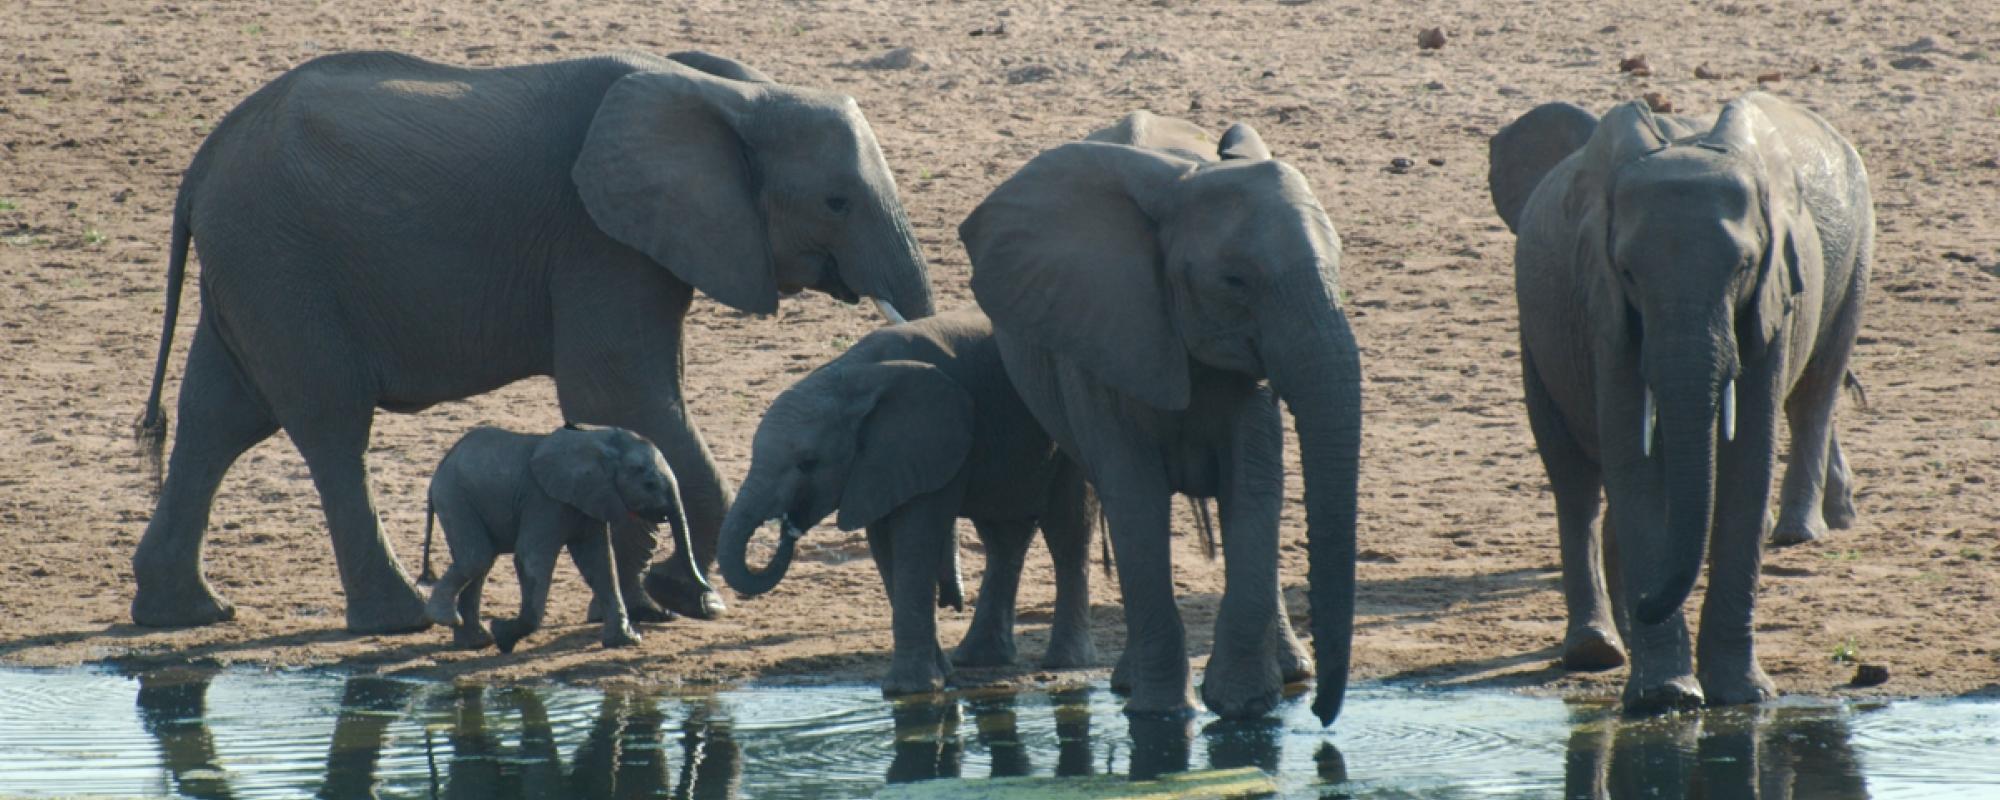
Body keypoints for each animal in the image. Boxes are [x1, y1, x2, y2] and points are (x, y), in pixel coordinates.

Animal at [418, 424, 708, 648]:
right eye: (649, 485)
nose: (707, 595)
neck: (597, 439)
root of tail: (439, 469)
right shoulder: (544, 500)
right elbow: (532, 559)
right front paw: (504, 634)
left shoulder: (590, 499)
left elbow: (600, 563)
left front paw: (626, 641)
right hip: (455, 497)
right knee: (476, 558)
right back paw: (447, 619)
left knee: (480, 563)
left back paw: (477, 642)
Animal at [716, 308, 1096, 692]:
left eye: (808, 463)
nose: (788, 525)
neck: (853, 374)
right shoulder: (877, 465)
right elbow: (884, 545)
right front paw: (939, 676)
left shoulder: (930, 441)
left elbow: (916, 537)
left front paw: (910, 690)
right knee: (1004, 539)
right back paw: (980, 659)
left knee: (1066, 532)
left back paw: (1064, 662)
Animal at [960, 112, 1368, 724]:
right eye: (1235, 282)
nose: (1323, 717)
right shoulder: (1099, 332)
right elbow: (1135, 496)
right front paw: (1164, 716)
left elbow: (1253, 484)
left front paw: (1245, 707)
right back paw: (1129, 683)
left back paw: (1291, 672)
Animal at [1504, 94, 1872, 712]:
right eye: (1628, 272)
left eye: (1743, 267)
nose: (1648, 602)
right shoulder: (1602, 308)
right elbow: (1634, 462)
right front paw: (1666, 697)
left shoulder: (1773, 296)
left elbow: (1748, 457)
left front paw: (1744, 697)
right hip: (1536, 335)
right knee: (1574, 483)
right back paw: (1596, 651)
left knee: (1816, 389)